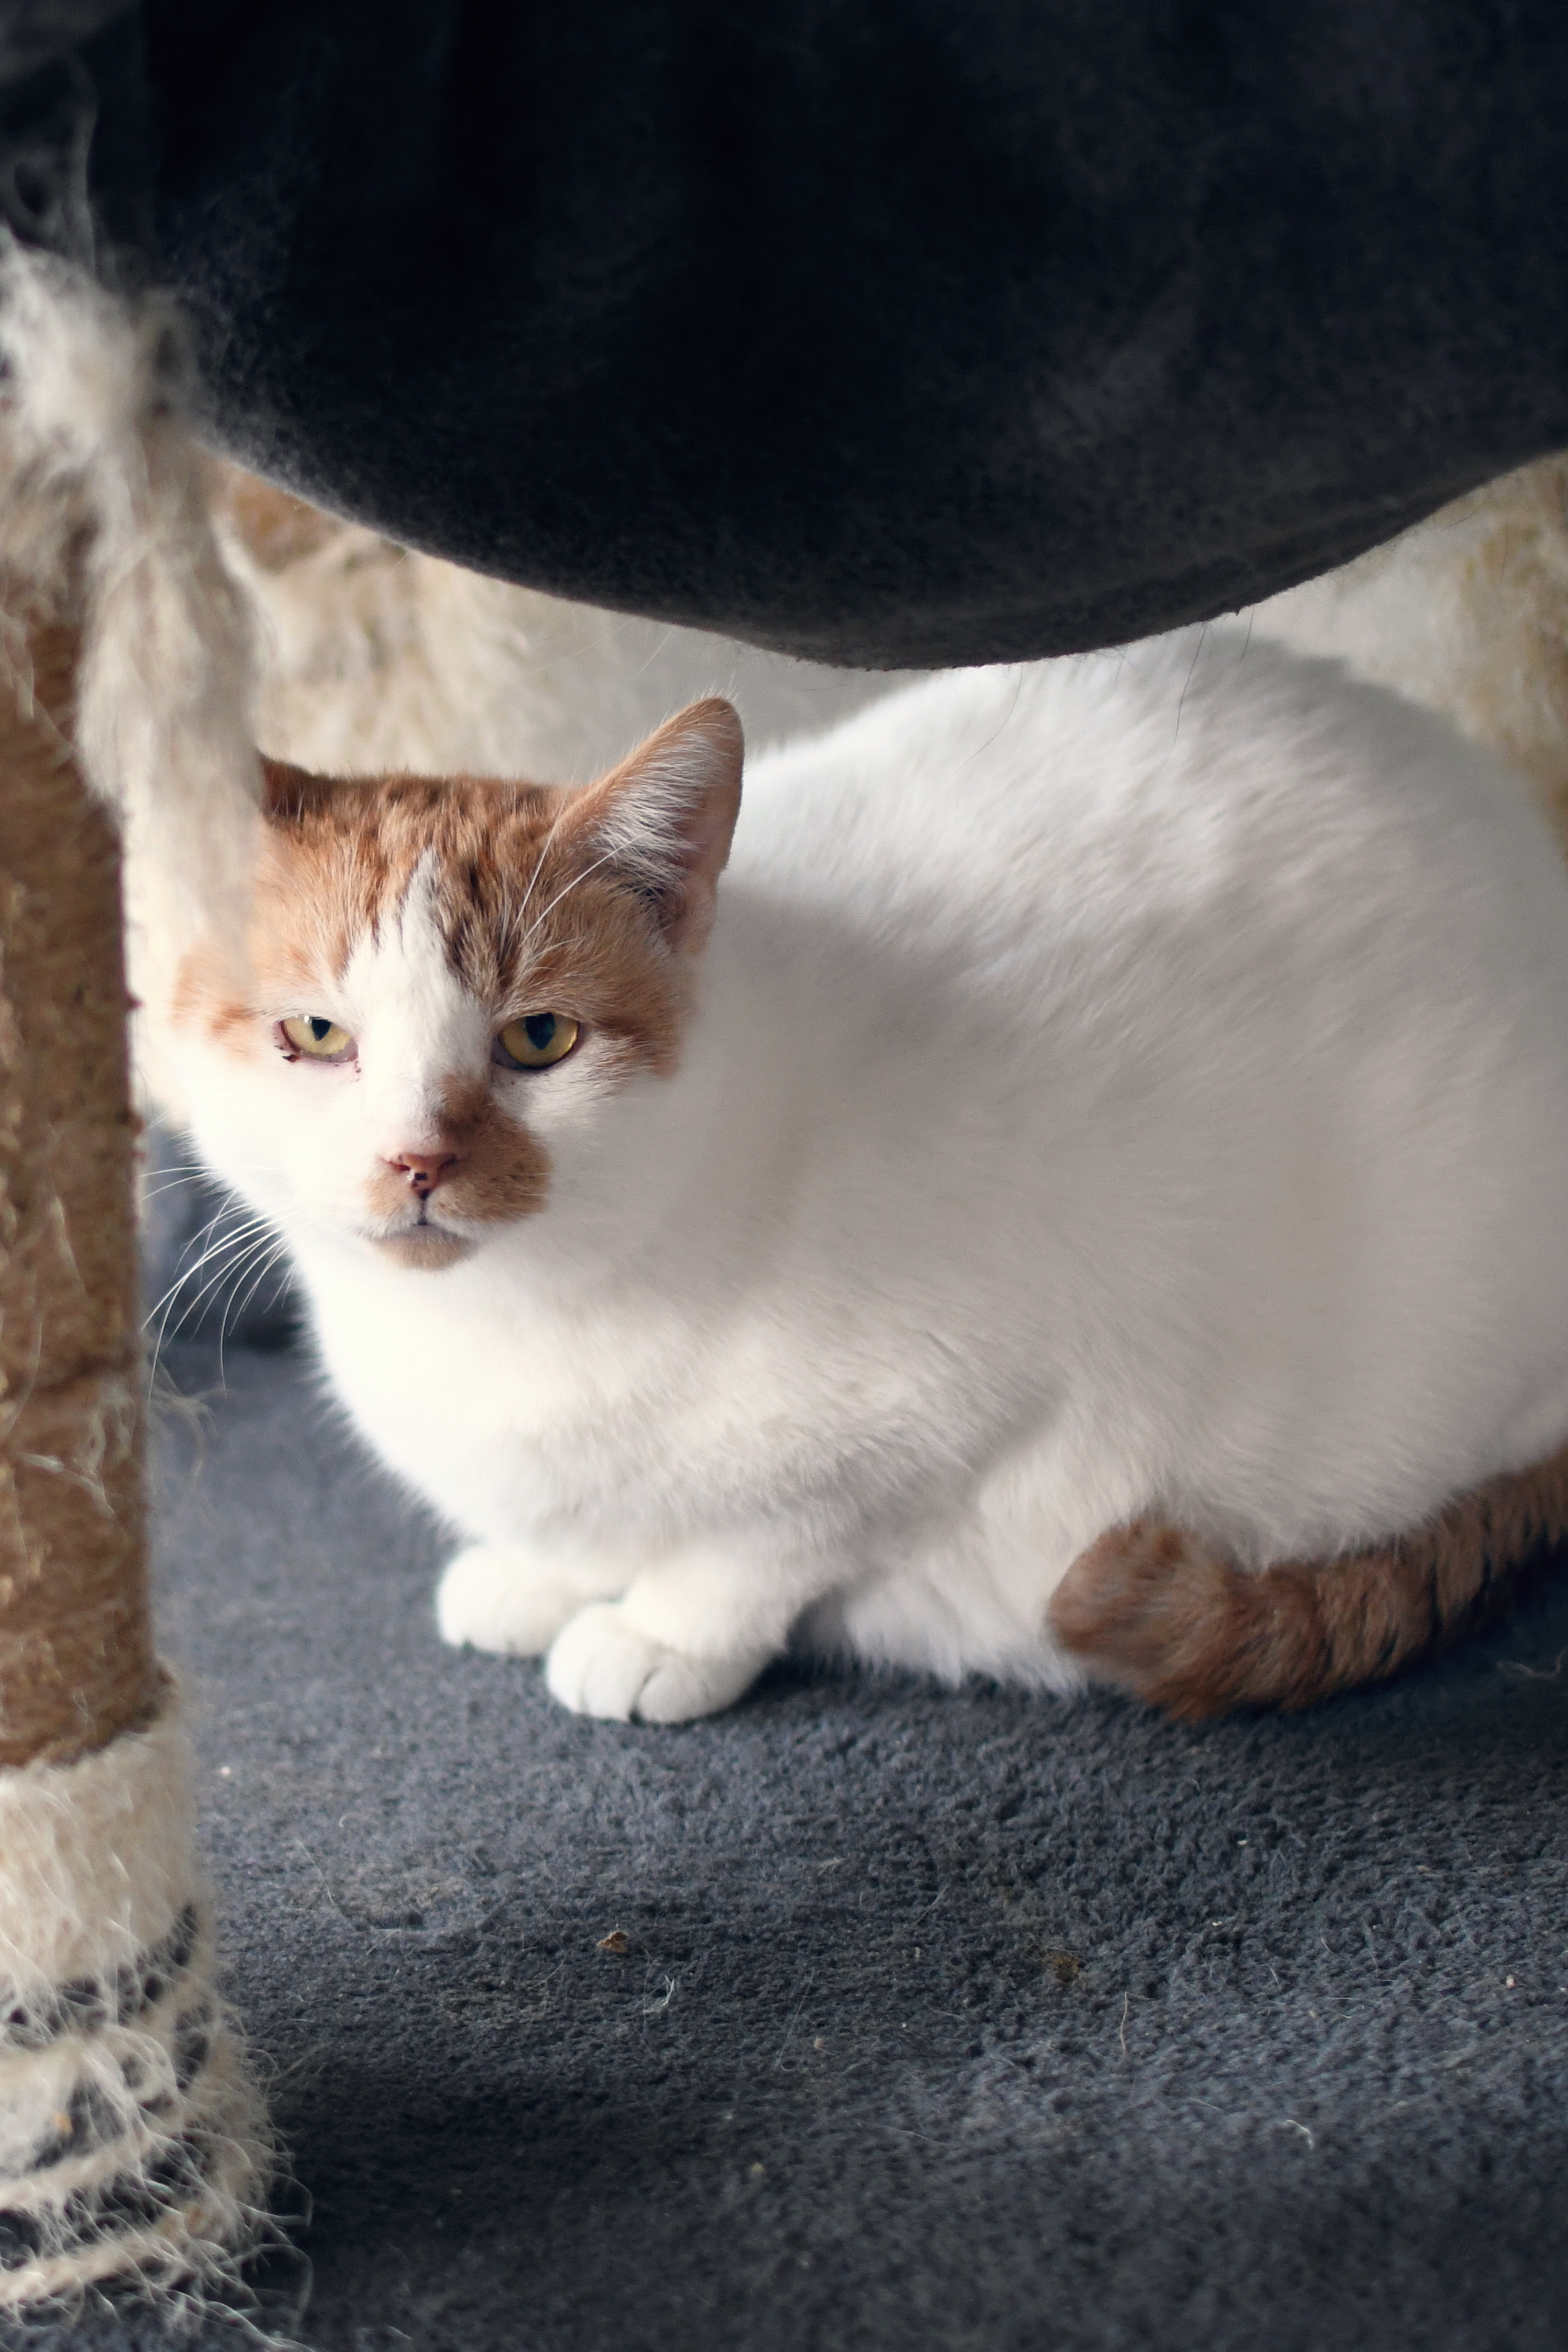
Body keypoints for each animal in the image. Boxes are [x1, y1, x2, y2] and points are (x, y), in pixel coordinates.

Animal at [150, 635, 1568, 1721]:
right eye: (316, 1034)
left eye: (538, 1039)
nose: (419, 1159)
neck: (511, 1320)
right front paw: (541, 1570)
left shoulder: (978, 1396)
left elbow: (770, 1540)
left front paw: (661, 1629)